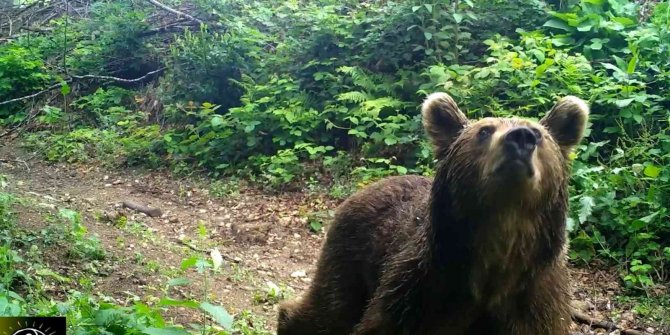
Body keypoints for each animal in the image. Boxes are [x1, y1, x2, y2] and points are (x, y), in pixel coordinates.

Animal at [280, 92, 592, 335]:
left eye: (539, 134)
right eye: (484, 130)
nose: (521, 137)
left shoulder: (534, 300)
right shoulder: (422, 291)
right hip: (351, 252)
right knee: (327, 311)